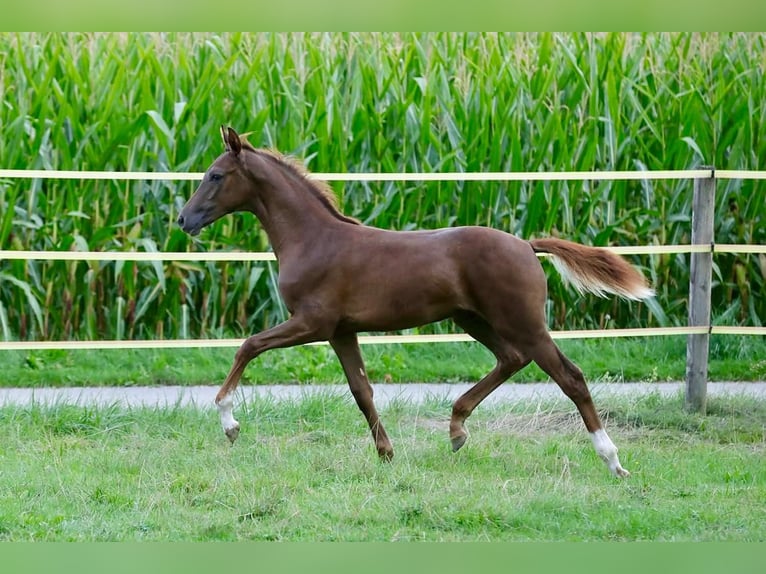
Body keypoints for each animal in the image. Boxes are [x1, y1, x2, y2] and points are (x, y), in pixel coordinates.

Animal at [177, 126, 654, 478]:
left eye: (215, 175)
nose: (184, 219)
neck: (313, 239)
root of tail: (525, 244)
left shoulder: (312, 322)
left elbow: (249, 346)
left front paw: (230, 424)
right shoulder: (341, 331)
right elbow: (362, 391)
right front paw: (386, 454)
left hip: (523, 322)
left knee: (570, 377)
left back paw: (613, 461)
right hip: (474, 319)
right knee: (511, 359)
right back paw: (457, 429)